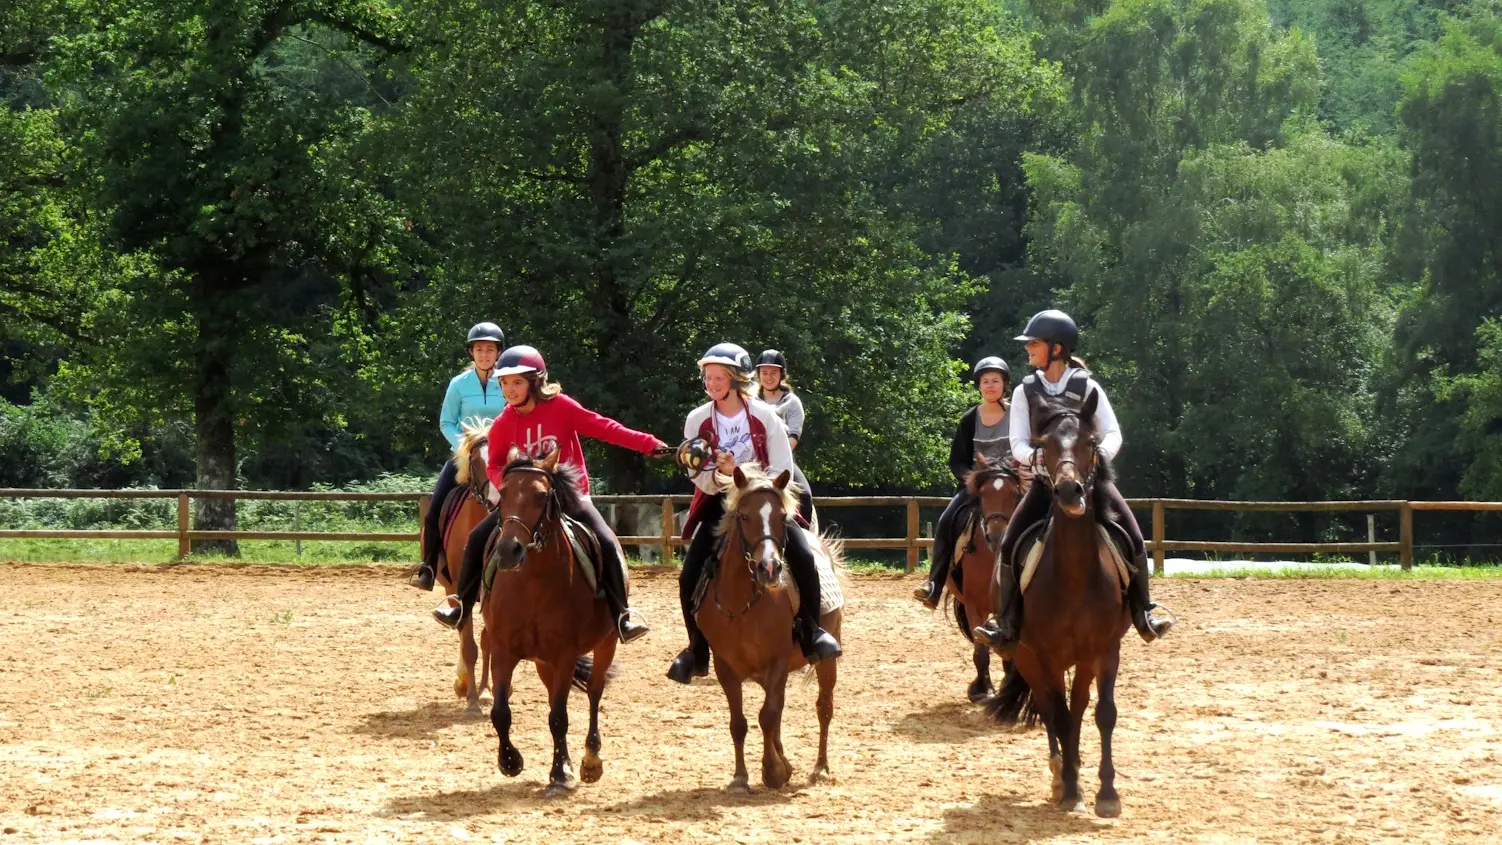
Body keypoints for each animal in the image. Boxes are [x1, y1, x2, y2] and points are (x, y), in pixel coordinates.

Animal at [483, 450, 618, 798]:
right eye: (503, 492)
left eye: (542, 496)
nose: (509, 550)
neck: (533, 584)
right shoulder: (502, 650)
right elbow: (501, 712)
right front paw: (510, 761)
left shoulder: (564, 656)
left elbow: (559, 717)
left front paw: (560, 774)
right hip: (543, 662)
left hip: (605, 644)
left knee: (594, 692)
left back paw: (590, 761)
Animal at [693, 465, 847, 798]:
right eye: (743, 516)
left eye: (781, 516)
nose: (769, 568)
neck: (740, 606)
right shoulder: (725, 666)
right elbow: (740, 722)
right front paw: (741, 777)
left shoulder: (777, 660)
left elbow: (767, 715)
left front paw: (772, 771)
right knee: (778, 711)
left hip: (826, 662)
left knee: (823, 707)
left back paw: (820, 768)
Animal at [943, 459, 1027, 705]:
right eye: (983, 494)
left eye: (1014, 492)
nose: (997, 535)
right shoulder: (974, 606)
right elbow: (981, 653)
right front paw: (982, 689)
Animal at [979, 390, 1129, 822]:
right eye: (1043, 445)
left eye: (1091, 443)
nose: (1069, 492)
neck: (1075, 576)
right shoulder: (1045, 655)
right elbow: (1057, 716)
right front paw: (1072, 789)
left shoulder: (1106, 650)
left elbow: (1102, 714)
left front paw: (1107, 794)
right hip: (1027, 657)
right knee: (1050, 709)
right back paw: (1061, 775)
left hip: (1082, 660)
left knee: (1077, 709)